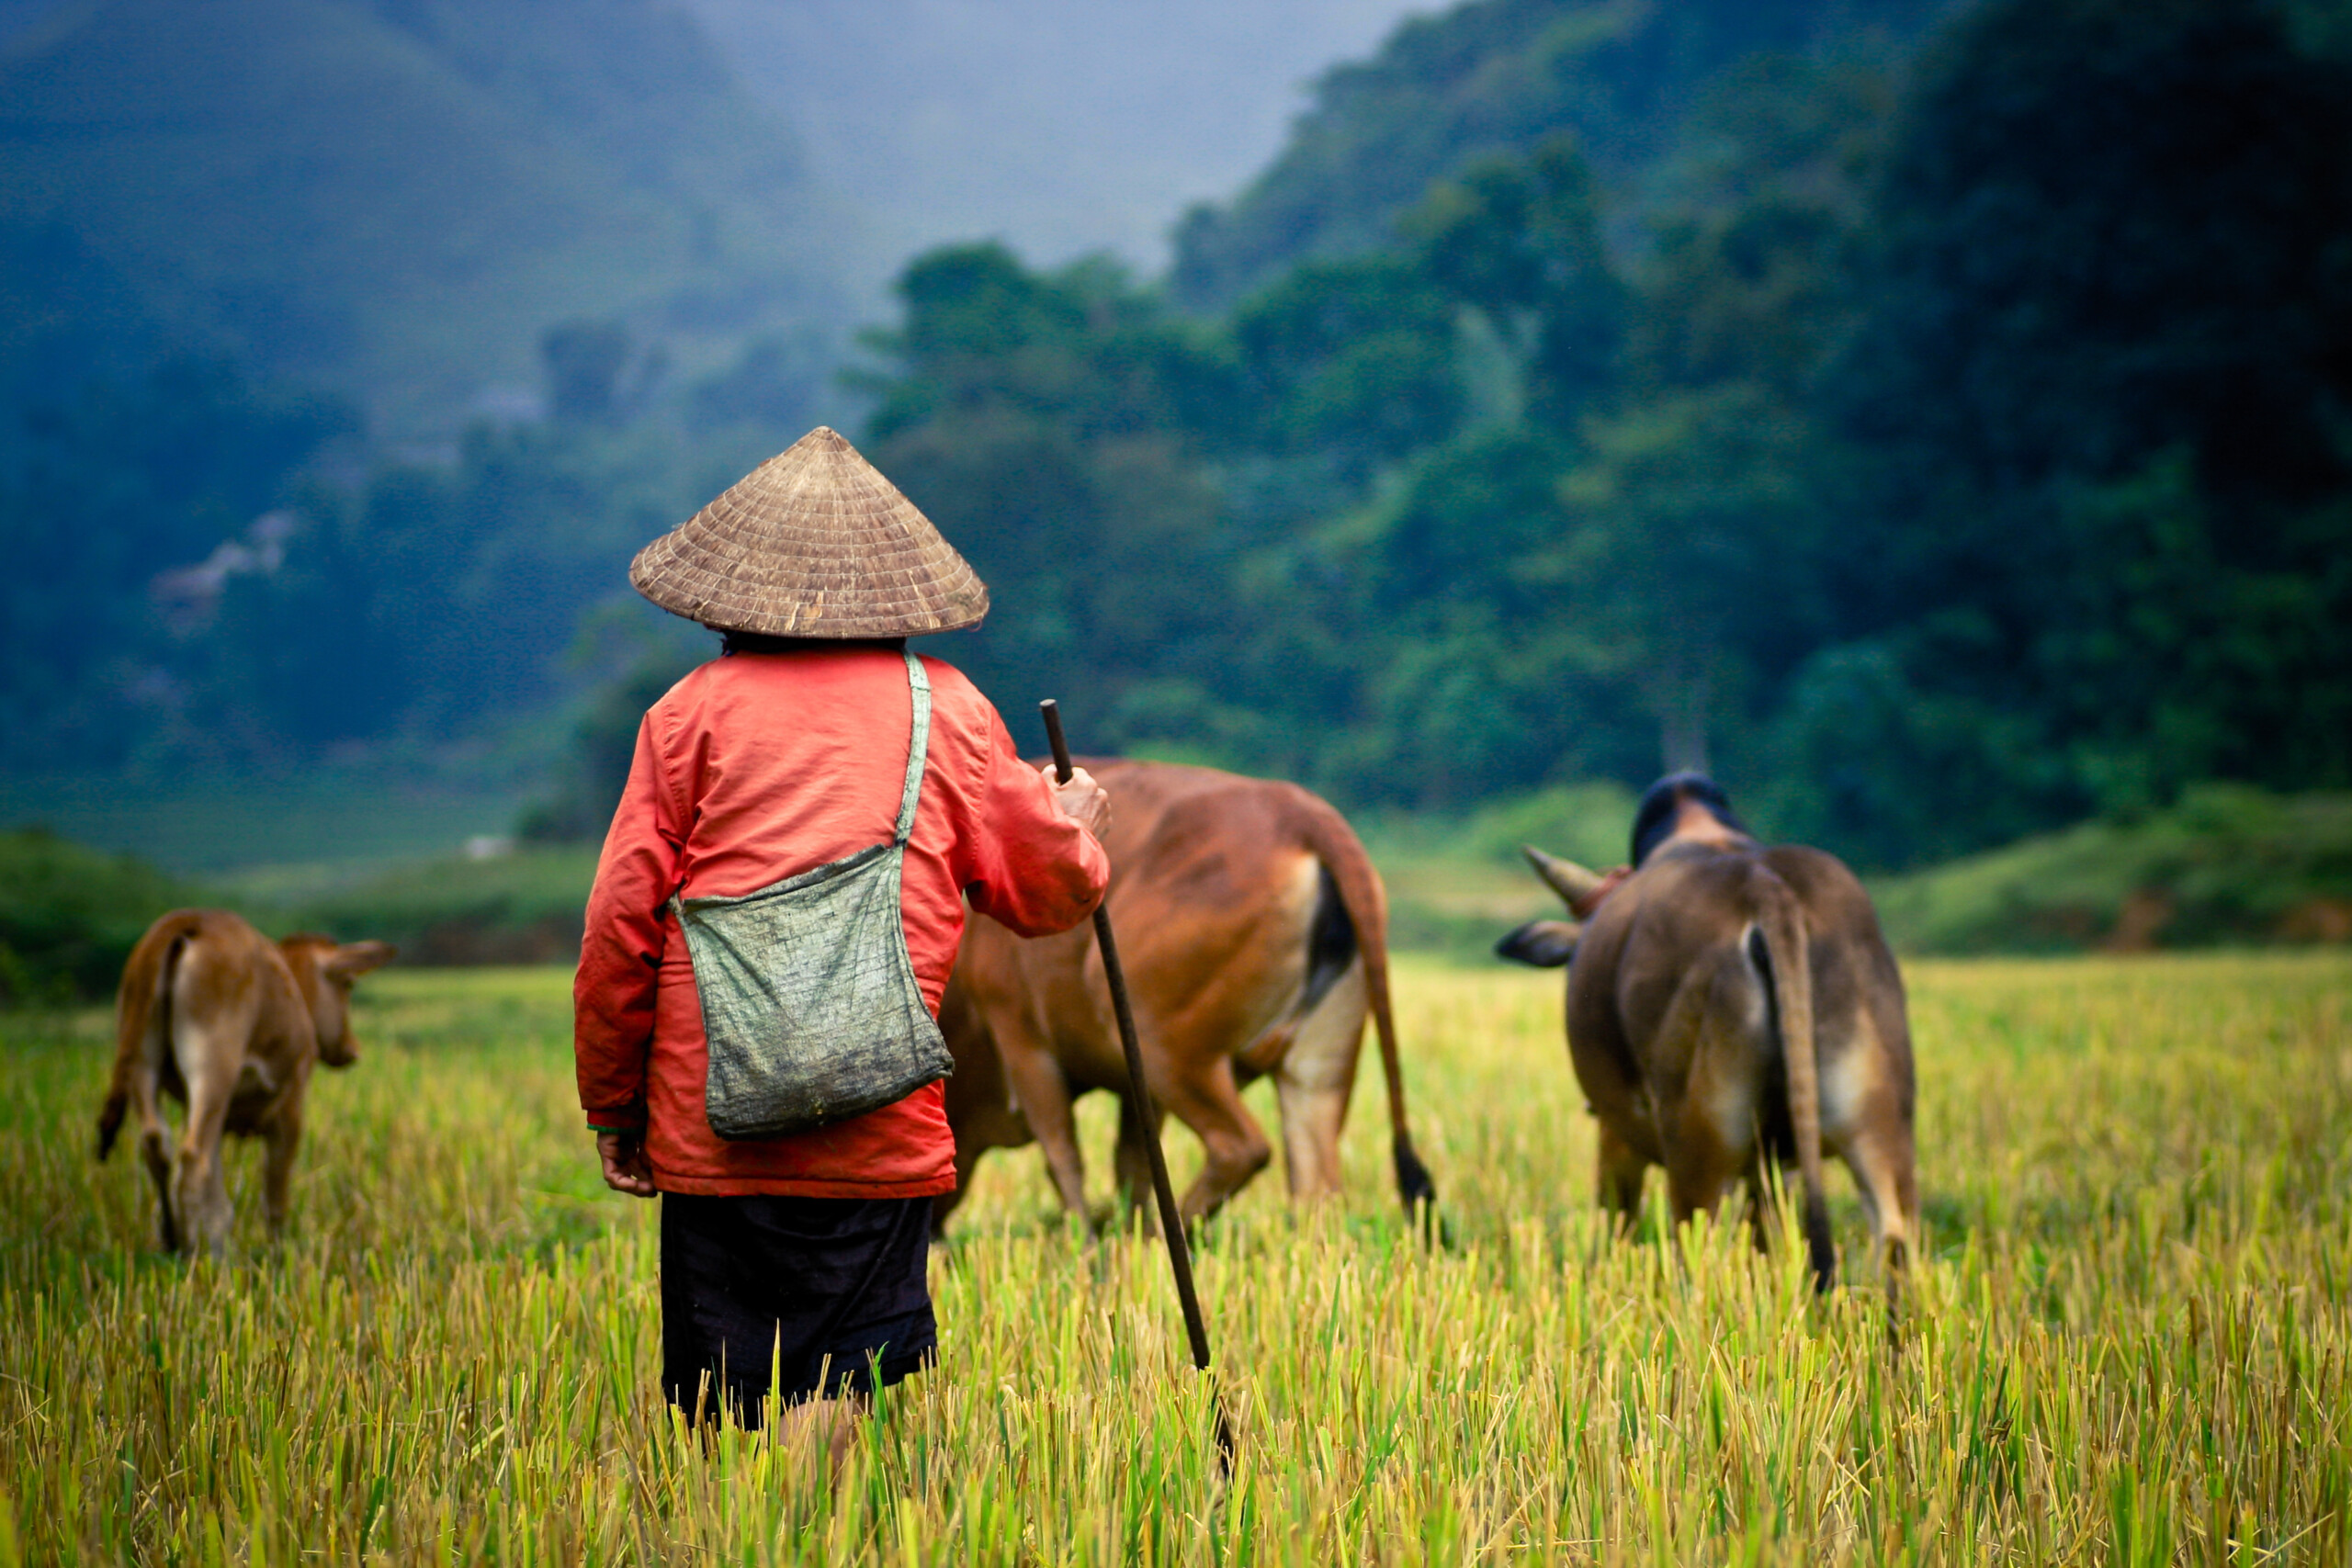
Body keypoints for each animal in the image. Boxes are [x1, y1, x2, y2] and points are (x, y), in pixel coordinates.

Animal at [94, 907, 392, 1250]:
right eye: (349, 985)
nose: (352, 1049)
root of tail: (190, 919)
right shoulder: (290, 1107)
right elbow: (274, 1200)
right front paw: (280, 1255)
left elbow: (218, 1193)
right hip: (213, 1067)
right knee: (193, 1160)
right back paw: (202, 1253)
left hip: (142, 1063)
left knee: (157, 1144)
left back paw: (173, 1240)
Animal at [935, 761, 1430, 1241]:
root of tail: (1302, 816)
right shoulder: (1133, 1088)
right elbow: (1132, 1165)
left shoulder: (1022, 1039)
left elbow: (1063, 1157)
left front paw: (1090, 1245)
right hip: (1316, 1074)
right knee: (1317, 1194)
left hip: (1167, 1045)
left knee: (1241, 1148)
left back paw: (1163, 1236)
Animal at [1496, 766, 1918, 1297]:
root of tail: (1765, 887)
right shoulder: (1772, 1166)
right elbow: (1762, 1239)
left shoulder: (1616, 1134)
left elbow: (1618, 1227)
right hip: (1877, 1122)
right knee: (1894, 1240)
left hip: (1697, 1141)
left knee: (1695, 1256)